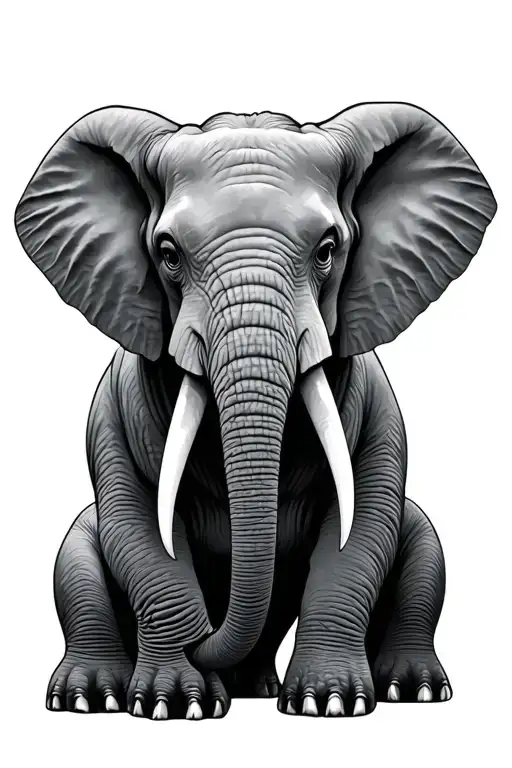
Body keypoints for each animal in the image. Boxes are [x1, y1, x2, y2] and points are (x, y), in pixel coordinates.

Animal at [15, 102, 496, 720]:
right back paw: (87, 697)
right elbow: (139, 529)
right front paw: (175, 705)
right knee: (76, 561)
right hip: (78, 547)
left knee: (422, 541)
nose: (204, 631)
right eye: (168, 254)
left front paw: (326, 702)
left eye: (327, 250)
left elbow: (361, 530)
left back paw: (405, 690)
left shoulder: (379, 415)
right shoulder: (112, 418)